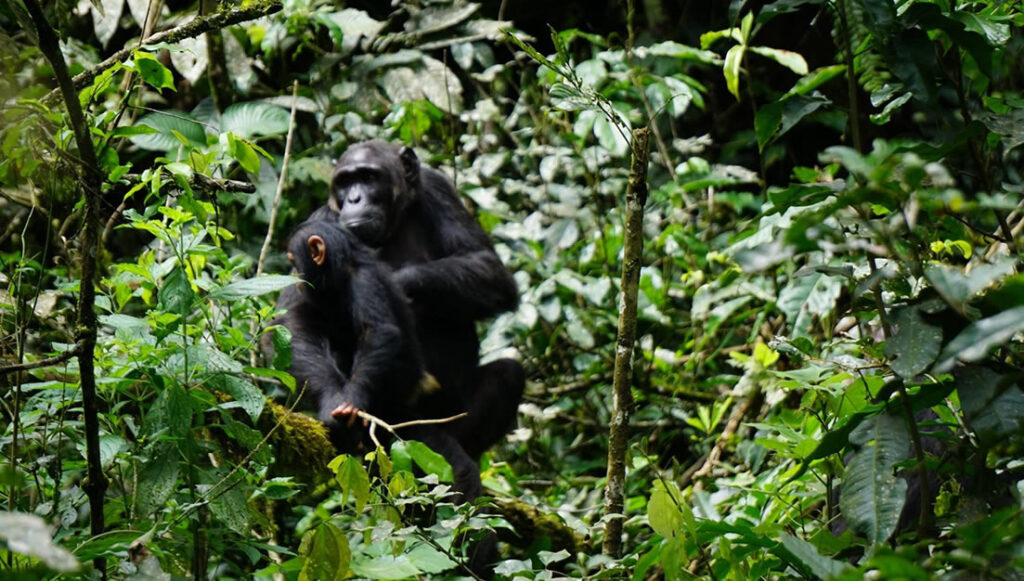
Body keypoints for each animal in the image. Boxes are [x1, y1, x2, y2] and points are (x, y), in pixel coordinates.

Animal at [307, 142, 524, 473]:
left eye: (368, 177)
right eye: (345, 182)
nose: (354, 198)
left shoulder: (438, 189)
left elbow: (488, 267)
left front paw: (395, 283)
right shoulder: (321, 225)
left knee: (509, 373)